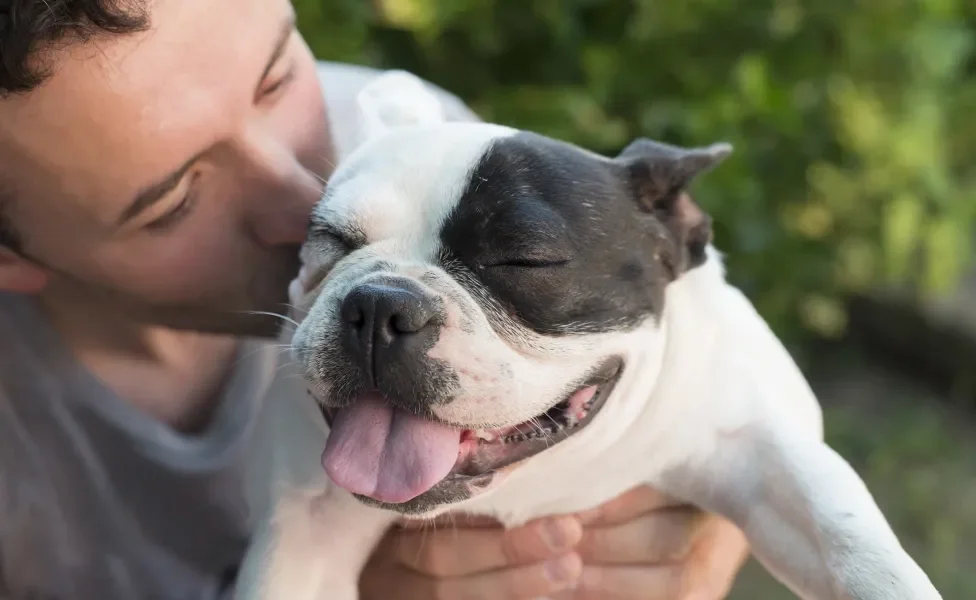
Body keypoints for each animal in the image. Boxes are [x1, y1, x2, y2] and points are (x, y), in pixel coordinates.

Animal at [233, 71, 940, 600]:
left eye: (525, 260)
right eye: (331, 242)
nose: (381, 305)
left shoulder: (756, 447)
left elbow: (844, 534)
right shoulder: (307, 527)